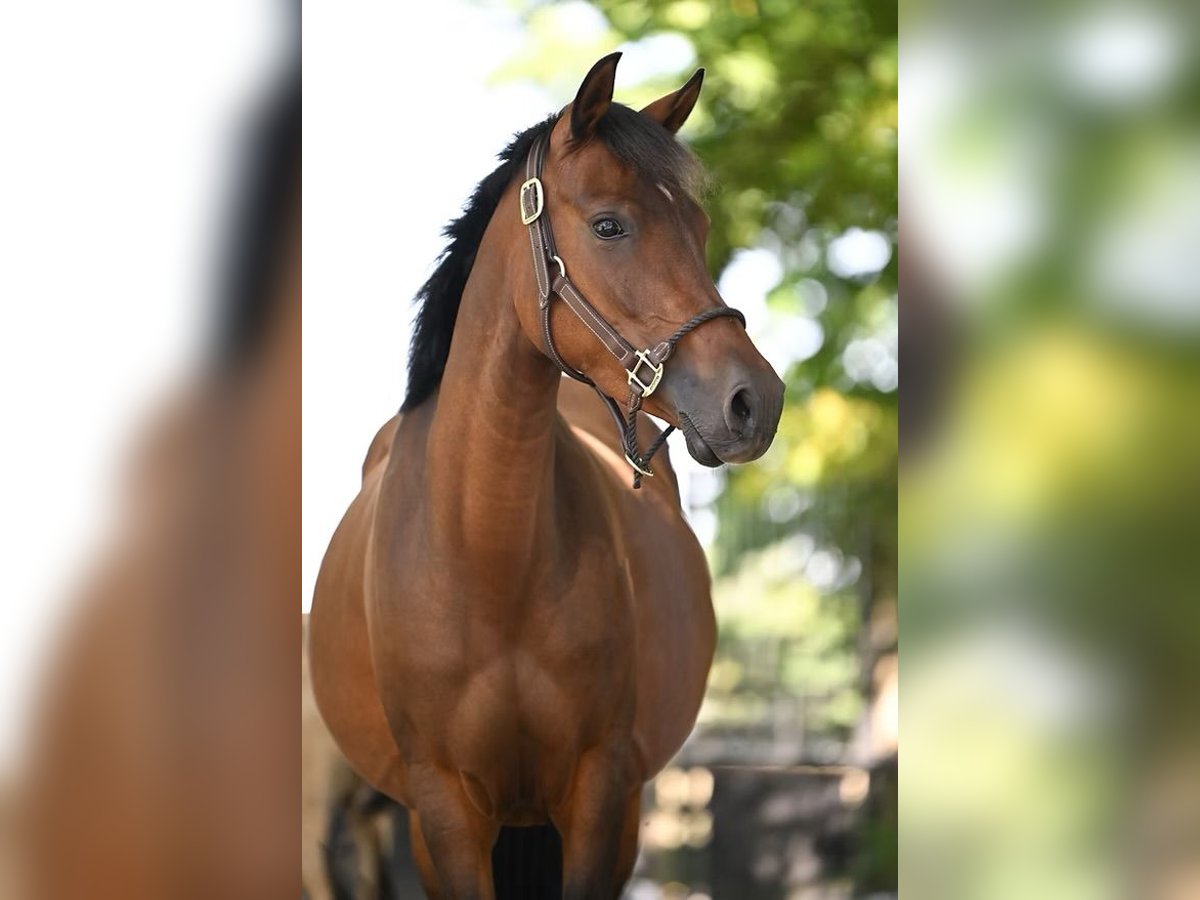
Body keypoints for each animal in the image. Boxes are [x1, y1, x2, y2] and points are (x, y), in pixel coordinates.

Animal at [304, 52, 782, 897]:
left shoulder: (599, 793)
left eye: (699, 229)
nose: (754, 400)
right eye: (609, 224)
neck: (490, 558)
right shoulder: (445, 809)